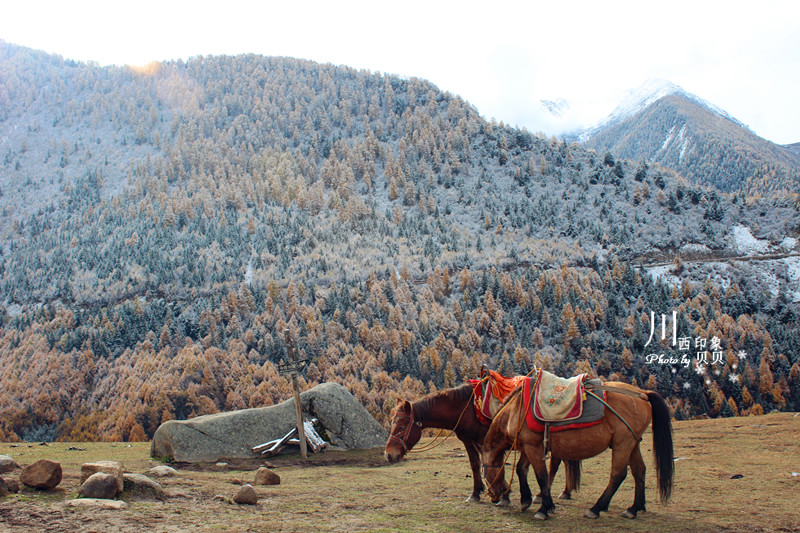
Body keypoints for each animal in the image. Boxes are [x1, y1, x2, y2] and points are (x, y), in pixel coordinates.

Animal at [384, 382, 580, 508]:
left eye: (401, 427)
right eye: (391, 423)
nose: (389, 455)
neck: (466, 409)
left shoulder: (488, 441)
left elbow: (496, 465)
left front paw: (503, 494)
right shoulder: (469, 442)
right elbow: (475, 465)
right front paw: (476, 493)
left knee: (555, 464)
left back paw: (542, 496)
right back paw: (565, 492)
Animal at [482, 380, 676, 516]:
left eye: (485, 474)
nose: (494, 496)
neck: (515, 410)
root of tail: (642, 394)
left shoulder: (533, 447)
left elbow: (541, 476)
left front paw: (544, 508)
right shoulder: (529, 447)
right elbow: (522, 470)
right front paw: (526, 500)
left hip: (623, 444)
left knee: (618, 475)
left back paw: (596, 508)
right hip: (632, 443)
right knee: (639, 471)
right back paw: (634, 508)